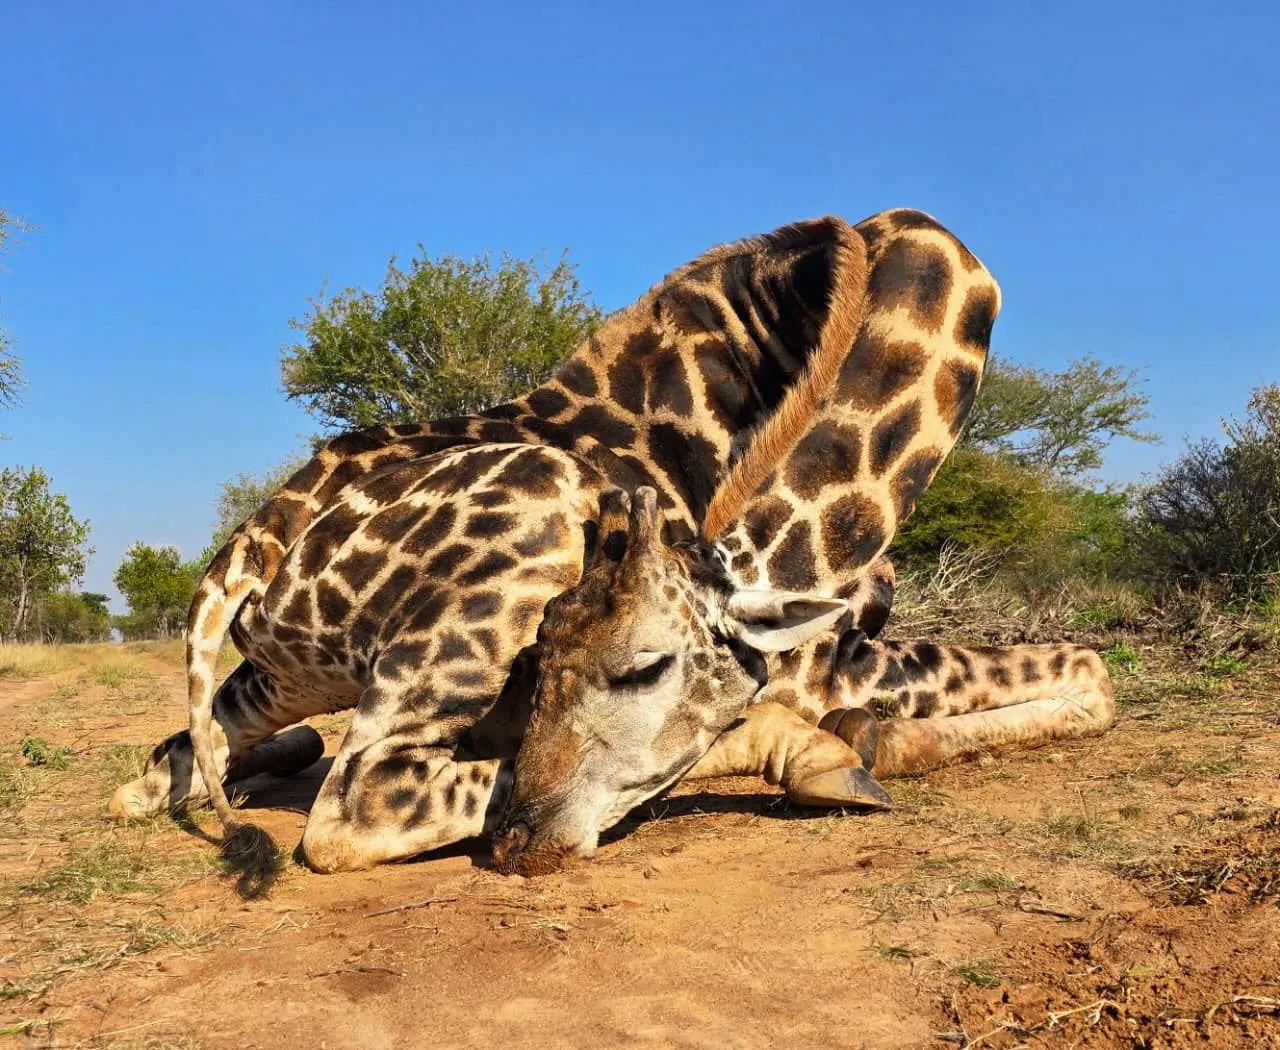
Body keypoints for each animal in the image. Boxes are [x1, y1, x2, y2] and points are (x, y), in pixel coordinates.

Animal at [107, 208, 1114, 875]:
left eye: (644, 666)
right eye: (538, 656)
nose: (520, 843)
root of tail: (256, 543)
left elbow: (1086, 672)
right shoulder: (823, 655)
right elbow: (1093, 670)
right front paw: (857, 742)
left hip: (279, 670)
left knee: (178, 758)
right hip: (537, 513)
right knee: (354, 808)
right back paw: (817, 754)